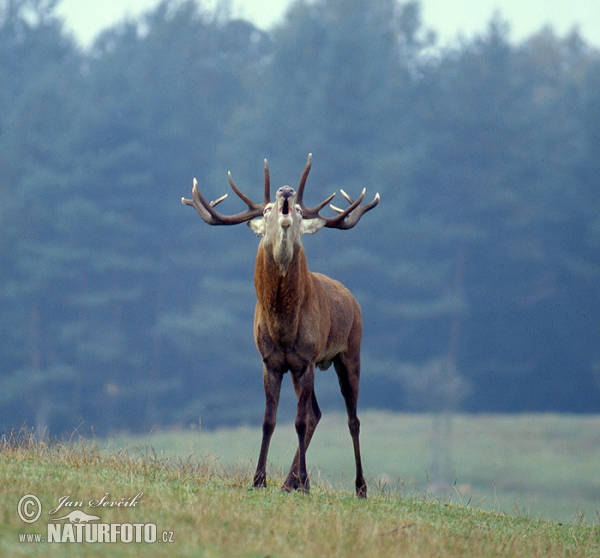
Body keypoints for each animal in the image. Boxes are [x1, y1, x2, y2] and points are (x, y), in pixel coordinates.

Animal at [183, 153, 380, 498]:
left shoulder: (306, 359)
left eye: (300, 211)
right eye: (265, 210)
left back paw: (358, 486)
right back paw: (290, 481)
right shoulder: (272, 362)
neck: (283, 328)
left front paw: (303, 483)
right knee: (316, 413)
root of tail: (352, 298)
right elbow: (269, 420)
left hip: (350, 351)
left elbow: (299, 421)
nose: (286, 191)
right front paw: (260, 479)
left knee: (351, 418)